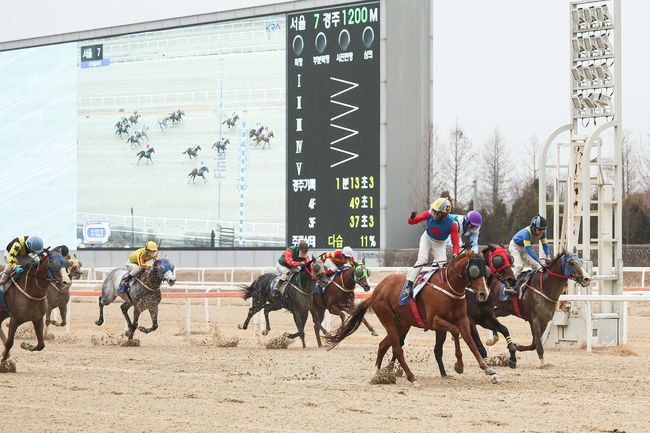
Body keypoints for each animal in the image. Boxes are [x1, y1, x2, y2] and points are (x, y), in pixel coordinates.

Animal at [324, 248, 496, 386]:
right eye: (474, 270)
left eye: (486, 270)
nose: (484, 294)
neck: (448, 287)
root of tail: (376, 291)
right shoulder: (434, 321)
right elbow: (454, 331)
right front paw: (459, 365)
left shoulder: (463, 320)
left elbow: (471, 342)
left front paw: (488, 369)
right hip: (388, 321)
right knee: (397, 349)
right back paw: (412, 378)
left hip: (402, 324)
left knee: (383, 345)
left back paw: (377, 374)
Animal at [430, 245, 516, 376]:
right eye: (498, 260)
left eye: (510, 258)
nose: (512, 280)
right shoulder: (470, 321)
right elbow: (479, 346)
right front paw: (487, 364)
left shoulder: (486, 318)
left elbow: (504, 329)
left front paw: (512, 358)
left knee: (437, 350)